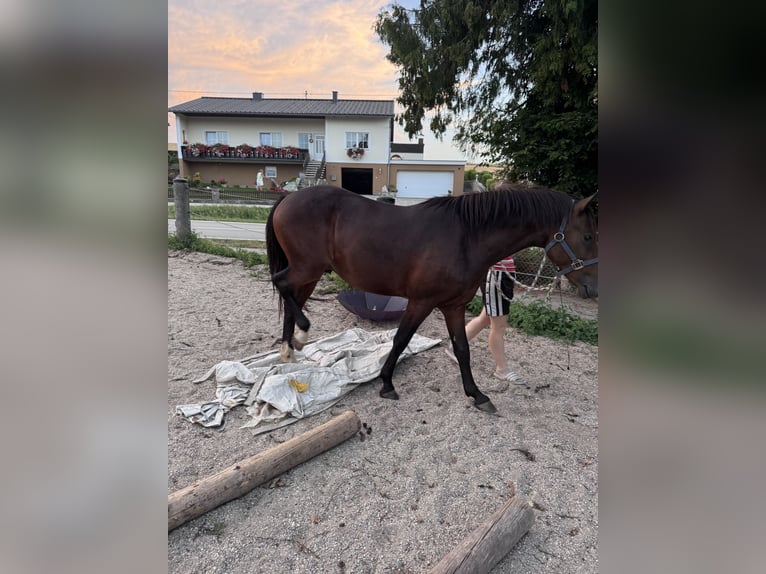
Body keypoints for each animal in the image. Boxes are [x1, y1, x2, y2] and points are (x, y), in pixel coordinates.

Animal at [266, 183, 598, 413]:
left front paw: (477, 395)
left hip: (310, 273)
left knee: (293, 298)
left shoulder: (454, 305)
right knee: (281, 284)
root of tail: (288, 198)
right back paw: (301, 334)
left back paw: (290, 348)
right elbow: (401, 338)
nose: (593, 287)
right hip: (307, 268)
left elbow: (462, 348)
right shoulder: (421, 302)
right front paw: (387, 383)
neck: (467, 237)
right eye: (589, 236)